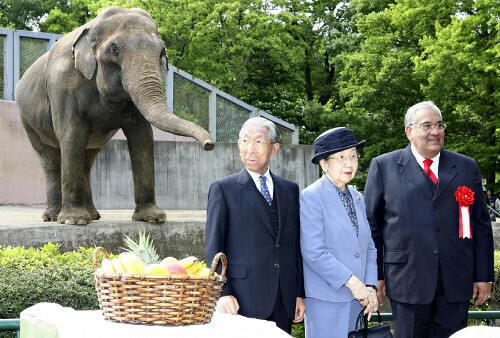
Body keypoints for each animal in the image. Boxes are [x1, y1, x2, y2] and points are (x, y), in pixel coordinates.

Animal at [14, 5, 214, 224]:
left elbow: (142, 136)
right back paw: (53, 217)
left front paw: (152, 218)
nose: (209, 145)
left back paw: (93, 215)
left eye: (162, 51)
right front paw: (74, 221)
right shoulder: (62, 85)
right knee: (50, 160)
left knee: (87, 159)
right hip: (27, 121)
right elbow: (72, 133)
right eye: (114, 49)